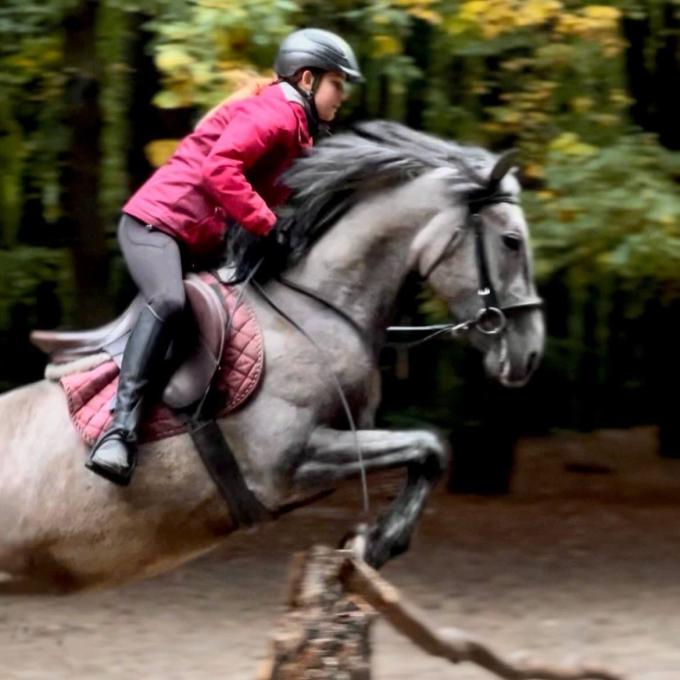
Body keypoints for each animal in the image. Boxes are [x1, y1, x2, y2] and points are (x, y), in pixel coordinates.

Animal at [0, 121, 544, 594]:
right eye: (512, 241)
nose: (531, 352)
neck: (315, 308)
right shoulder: (287, 463)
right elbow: (429, 446)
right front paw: (378, 543)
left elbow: (429, 450)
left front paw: (374, 544)